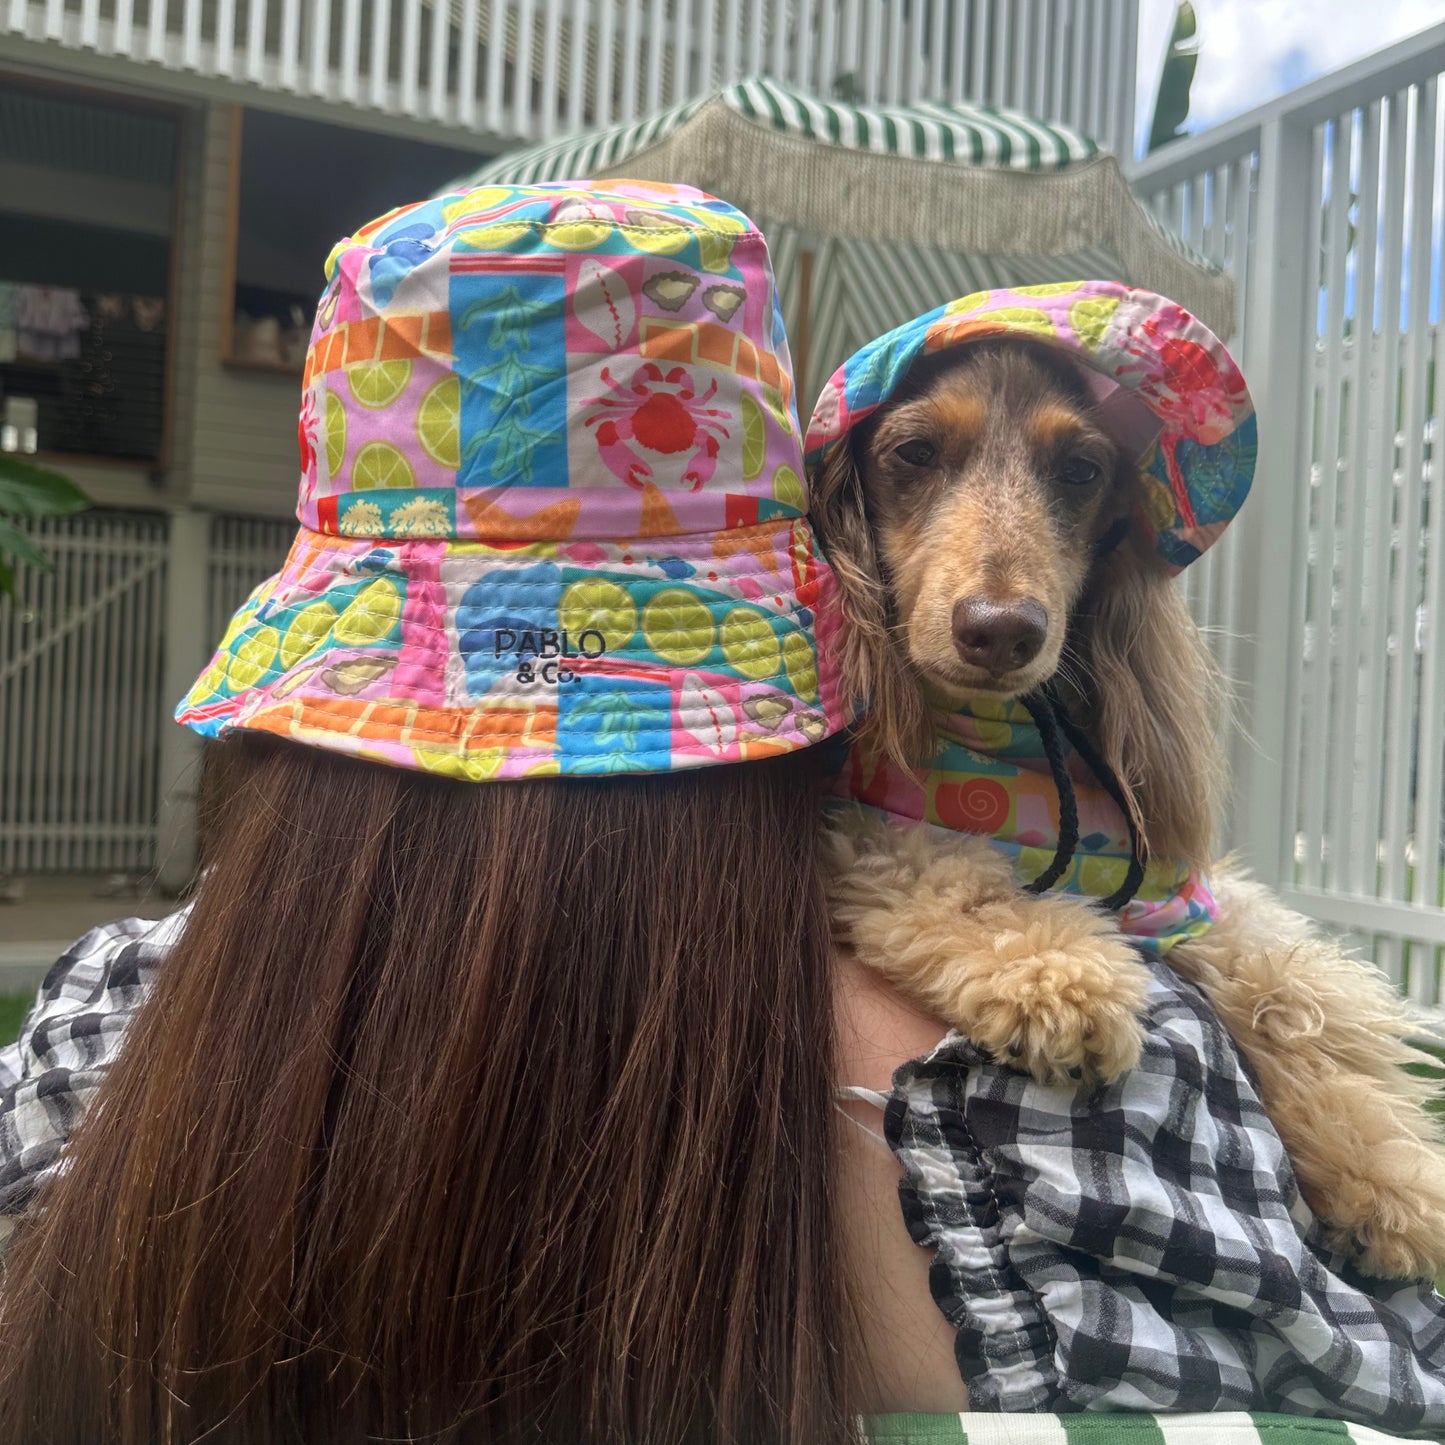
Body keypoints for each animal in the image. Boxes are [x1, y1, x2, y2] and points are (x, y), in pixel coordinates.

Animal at [809, 325, 1445, 1277]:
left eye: (1079, 469)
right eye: (913, 453)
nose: (1001, 630)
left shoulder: (1182, 898)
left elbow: (1278, 989)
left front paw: (1388, 1171)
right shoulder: (857, 826)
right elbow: (937, 868)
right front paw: (1054, 975)